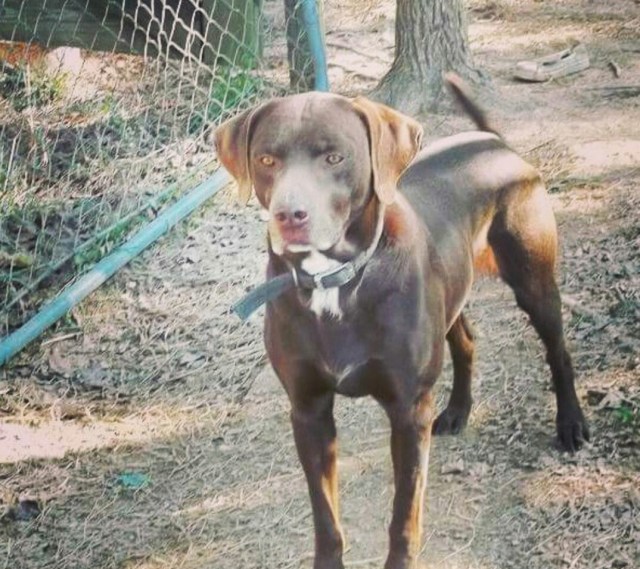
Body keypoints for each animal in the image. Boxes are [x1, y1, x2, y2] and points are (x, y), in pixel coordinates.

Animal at [215, 76, 589, 569]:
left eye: (335, 157)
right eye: (266, 160)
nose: (289, 216)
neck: (336, 280)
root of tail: (494, 141)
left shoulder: (408, 411)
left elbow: (404, 513)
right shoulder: (309, 410)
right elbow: (325, 515)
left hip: (534, 282)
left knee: (558, 351)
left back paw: (571, 424)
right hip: (452, 291)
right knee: (466, 342)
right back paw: (458, 410)